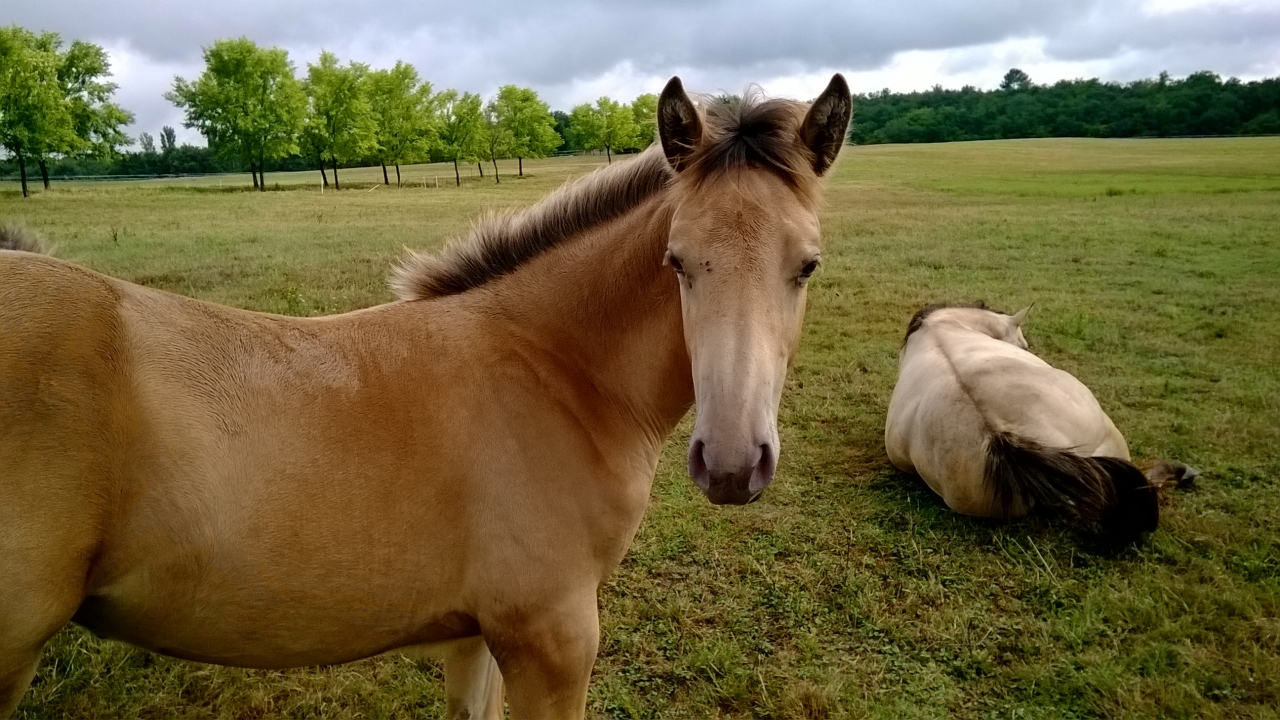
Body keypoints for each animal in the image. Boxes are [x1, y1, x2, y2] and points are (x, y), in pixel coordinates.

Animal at [0, 75, 851, 719]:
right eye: (677, 261)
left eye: (807, 264)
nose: (732, 464)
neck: (553, 372)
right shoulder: (552, 637)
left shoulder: (478, 634)